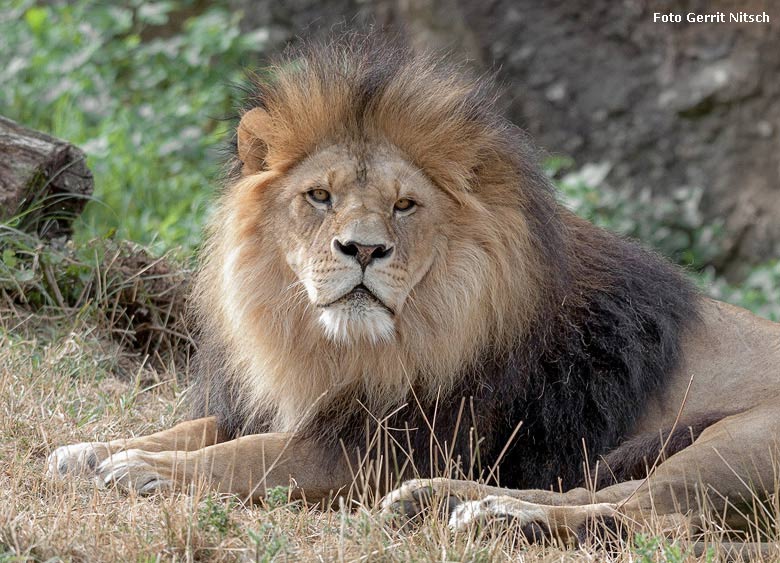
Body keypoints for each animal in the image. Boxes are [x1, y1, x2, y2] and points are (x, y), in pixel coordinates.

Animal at [47, 36, 780, 548]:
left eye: (405, 205)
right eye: (320, 196)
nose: (364, 249)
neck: (338, 347)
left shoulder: (371, 446)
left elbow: (245, 456)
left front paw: (146, 469)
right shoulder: (296, 406)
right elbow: (196, 428)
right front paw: (92, 450)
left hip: (739, 442)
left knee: (655, 517)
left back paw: (499, 517)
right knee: (605, 494)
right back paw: (444, 503)